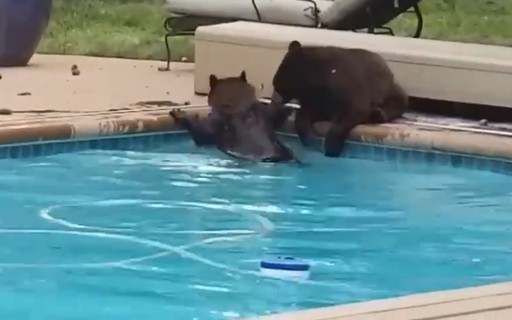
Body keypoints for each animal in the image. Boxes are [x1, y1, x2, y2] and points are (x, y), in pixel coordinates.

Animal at [268, 40, 408, 158]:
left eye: (279, 86)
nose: (274, 100)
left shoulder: (346, 89)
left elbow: (351, 112)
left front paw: (331, 147)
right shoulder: (316, 100)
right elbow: (305, 115)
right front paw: (310, 138)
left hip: (385, 86)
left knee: (398, 99)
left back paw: (379, 113)